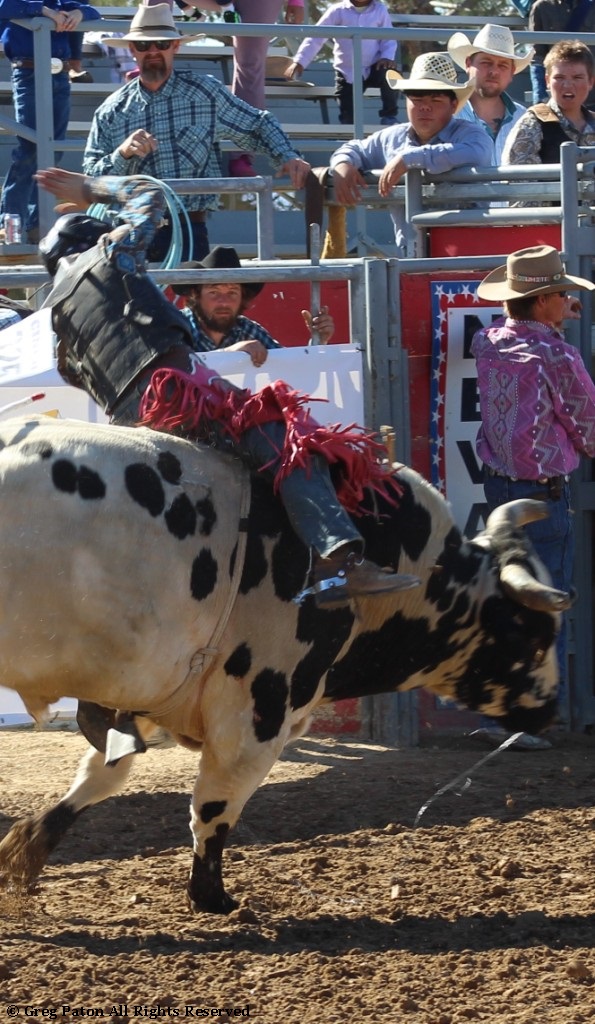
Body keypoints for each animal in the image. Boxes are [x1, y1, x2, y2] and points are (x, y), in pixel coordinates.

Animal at [0, 415, 569, 914]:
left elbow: (104, 774)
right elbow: (214, 809)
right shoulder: (257, 713)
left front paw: (26, 848)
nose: (550, 710)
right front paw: (212, 898)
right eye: (533, 634)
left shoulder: (143, 697)